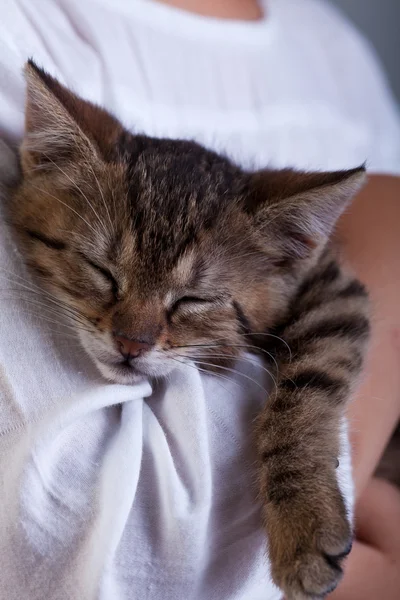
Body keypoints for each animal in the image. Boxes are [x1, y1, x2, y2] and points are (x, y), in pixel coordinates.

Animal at [10, 62, 372, 600]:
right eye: (102, 272)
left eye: (192, 301)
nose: (131, 344)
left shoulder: (334, 288)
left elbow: (309, 387)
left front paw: (304, 519)